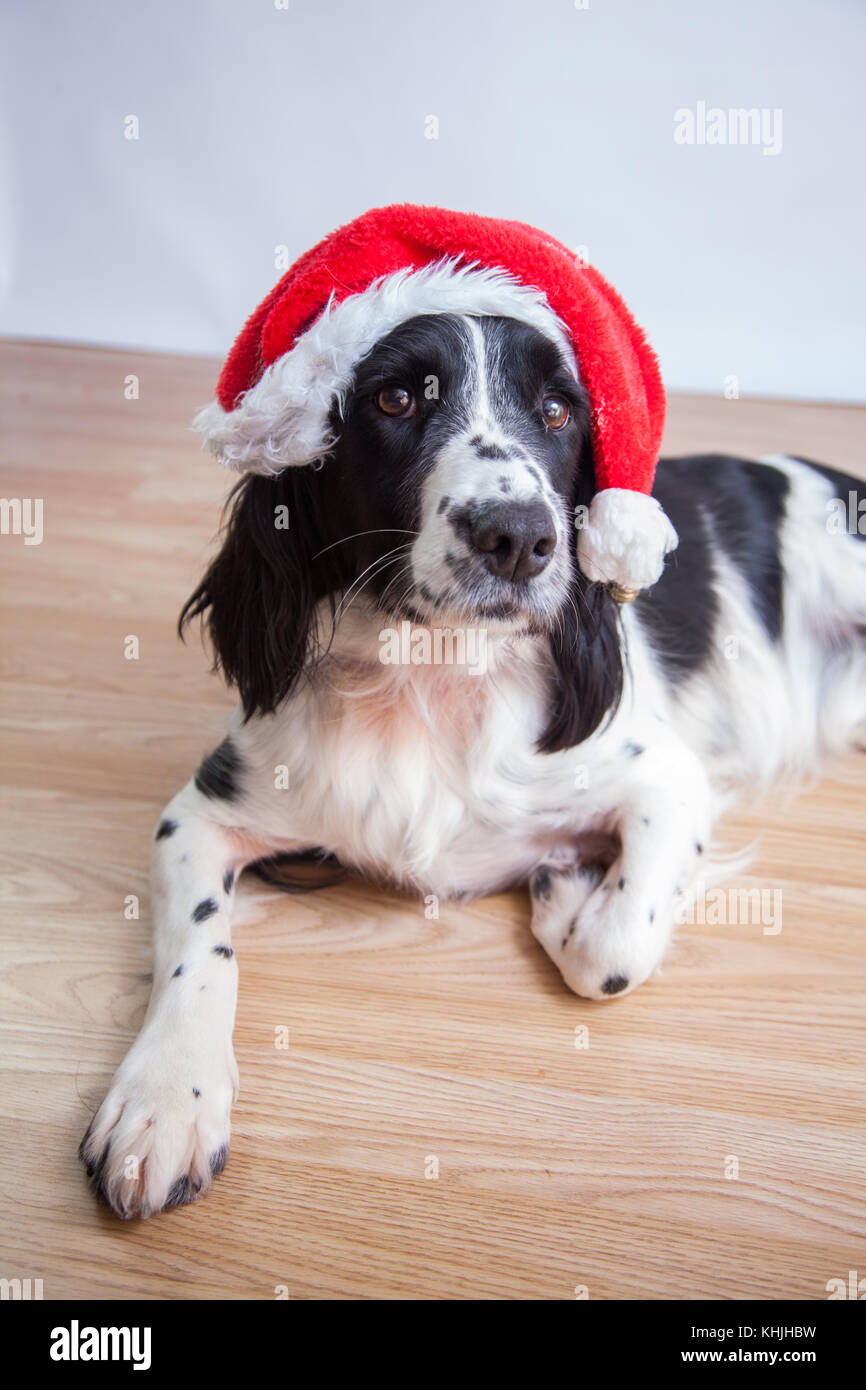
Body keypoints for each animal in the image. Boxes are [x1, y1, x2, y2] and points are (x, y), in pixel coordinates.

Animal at [79, 241, 866, 1217]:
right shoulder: (203, 807)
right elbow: (198, 947)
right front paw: (163, 1101)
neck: (433, 679)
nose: (519, 537)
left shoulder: (663, 777)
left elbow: (613, 947)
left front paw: (568, 893)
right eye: (395, 399)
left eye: (560, 410)